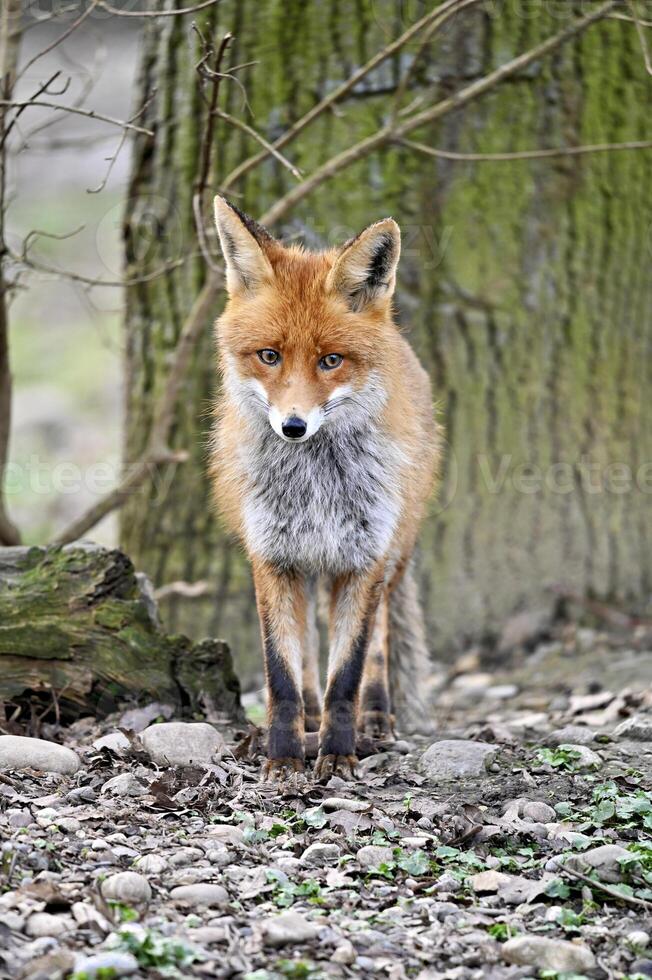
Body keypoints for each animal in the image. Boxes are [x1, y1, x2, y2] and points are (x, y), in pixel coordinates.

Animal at [211, 197, 440, 780]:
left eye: (330, 360)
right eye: (269, 355)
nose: (293, 426)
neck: (316, 486)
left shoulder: (364, 559)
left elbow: (348, 673)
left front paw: (338, 754)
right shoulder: (272, 557)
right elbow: (283, 675)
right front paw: (284, 757)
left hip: (388, 552)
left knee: (377, 643)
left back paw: (375, 719)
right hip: (307, 566)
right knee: (309, 655)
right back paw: (312, 720)